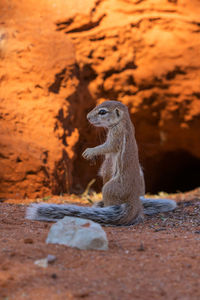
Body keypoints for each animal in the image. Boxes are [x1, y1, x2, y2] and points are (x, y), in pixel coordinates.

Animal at [25, 101, 176, 225]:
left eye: (102, 112)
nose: (87, 117)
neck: (123, 122)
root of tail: (134, 203)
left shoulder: (116, 136)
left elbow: (107, 147)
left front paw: (90, 151)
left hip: (109, 188)